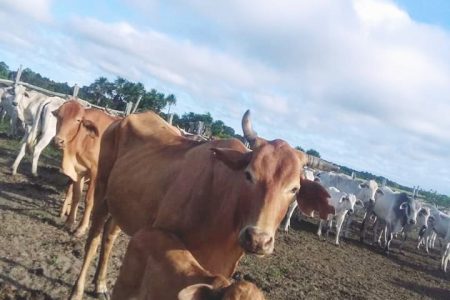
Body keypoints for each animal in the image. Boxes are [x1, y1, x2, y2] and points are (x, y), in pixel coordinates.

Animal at [52, 101, 121, 237]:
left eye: (78, 120)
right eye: (59, 116)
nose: (58, 141)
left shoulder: (95, 172)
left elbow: (89, 200)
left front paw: (81, 228)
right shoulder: (79, 171)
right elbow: (76, 196)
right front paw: (69, 222)